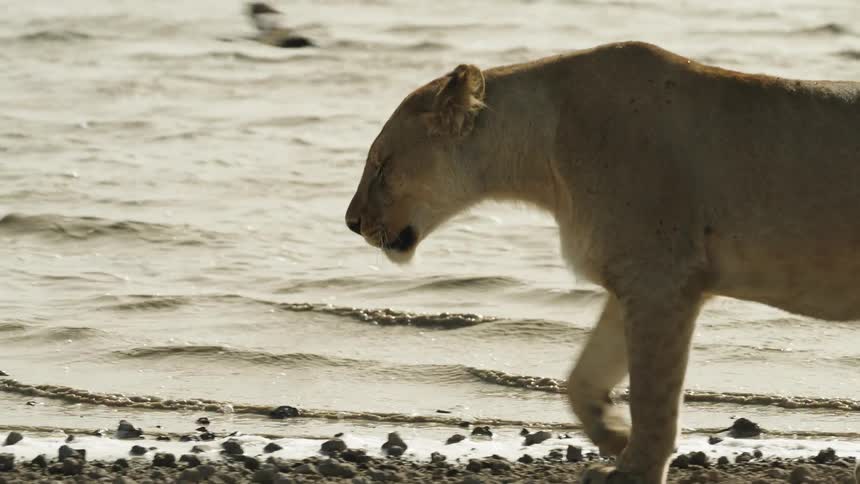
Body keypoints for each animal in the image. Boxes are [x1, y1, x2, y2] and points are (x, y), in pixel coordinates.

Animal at [344, 41, 860, 484]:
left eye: (382, 166)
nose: (350, 222)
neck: (543, 160)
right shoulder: (631, 281)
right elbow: (582, 379)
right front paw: (615, 437)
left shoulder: (661, 280)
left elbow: (654, 396)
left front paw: (635, 471)